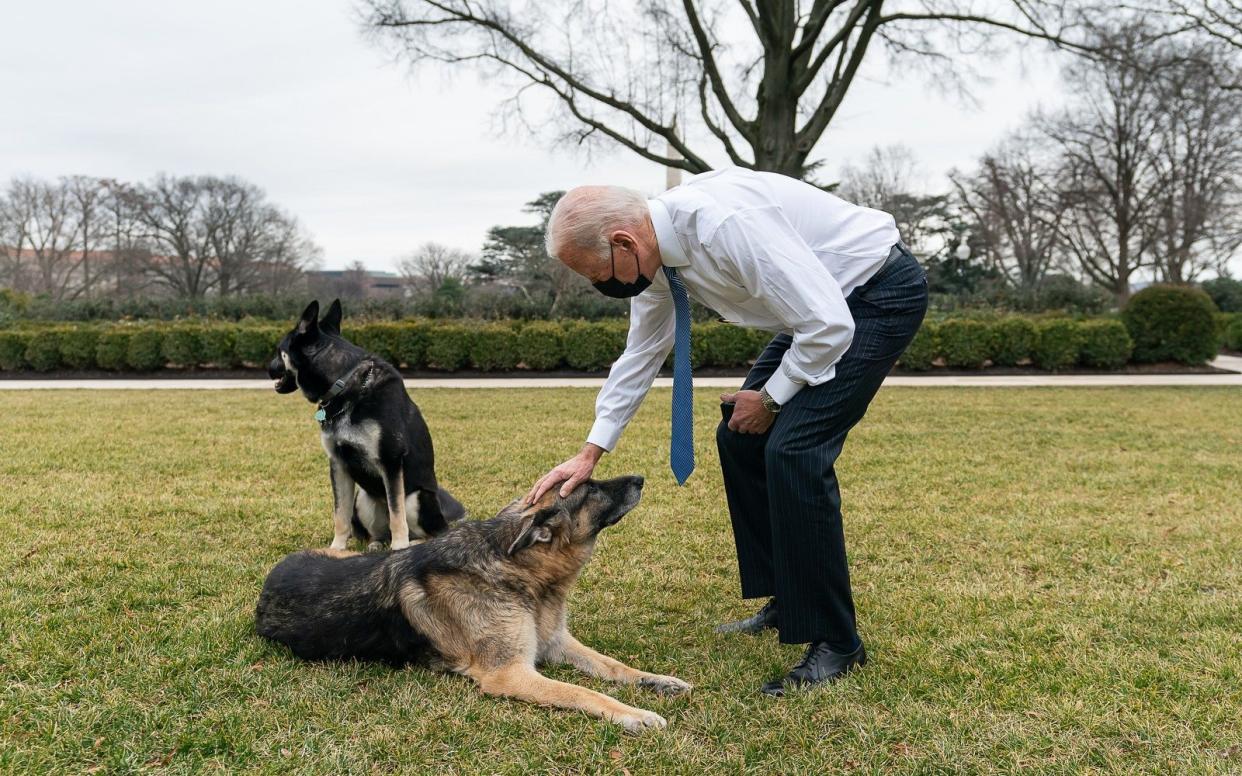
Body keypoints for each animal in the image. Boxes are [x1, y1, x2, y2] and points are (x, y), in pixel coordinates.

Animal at [255, 471, 695, 730]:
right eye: (590, 489)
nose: (640, 478)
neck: (516, 567)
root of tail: (269, 583)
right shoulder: (511, 673)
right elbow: (583, 692)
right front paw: (635, 714)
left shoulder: (556, 643)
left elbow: (614, 666)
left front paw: (658, 680)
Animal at [268, 299, 466, 548]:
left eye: (279, 351)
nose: (267, 368)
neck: (344, 384)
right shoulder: (338, 464)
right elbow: (340, 515)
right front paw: (337, 548)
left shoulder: (391, 462)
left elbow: (397, 514)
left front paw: (399, 548)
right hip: (363, 497)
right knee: (379, 530)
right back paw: (377, 544)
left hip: (417, 498)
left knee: (428, 531)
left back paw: (411, 543)